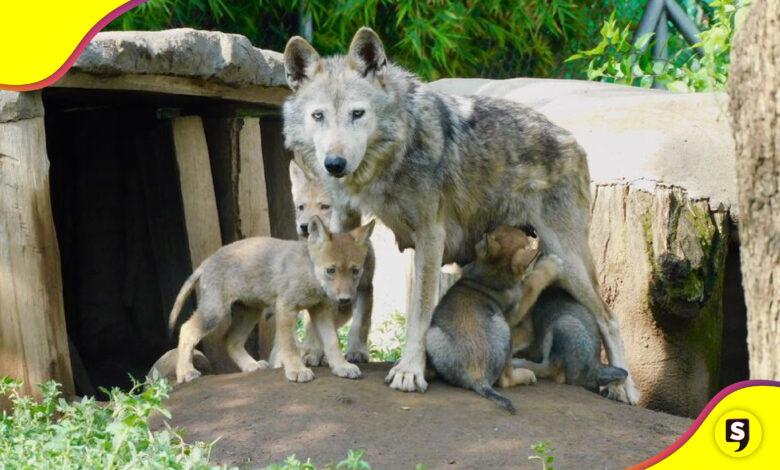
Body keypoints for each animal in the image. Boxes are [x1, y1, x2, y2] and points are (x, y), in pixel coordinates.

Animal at [169, 215, 375, 384]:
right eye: (331, 270)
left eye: (355, 271)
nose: (345, 299)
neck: (310, 274)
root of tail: (207, 260)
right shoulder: (286, 308)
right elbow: (290, 345)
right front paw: (297, 370)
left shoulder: (321, 310)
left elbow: (332, 342)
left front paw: (341, 366)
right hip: (214, 313)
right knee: (186, 329)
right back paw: (185, 372)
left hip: (249, 313)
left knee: (230, 340)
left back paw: (250, 366)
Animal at [288, 160, 375, 365]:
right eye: (301, 207)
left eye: (325, 206)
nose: (304, 226)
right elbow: (316, 330)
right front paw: (312, 353)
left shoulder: (364, 288)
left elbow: (360, 324)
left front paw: (356, 351)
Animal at [426, 226, 561, 413]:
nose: (530, 231)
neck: (488, 277)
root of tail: (477, 377)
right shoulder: (516, 310)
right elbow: (532, 284)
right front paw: (551, 265)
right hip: (505, 330)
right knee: (505, 380)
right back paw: (526, 375)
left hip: (432, 335)